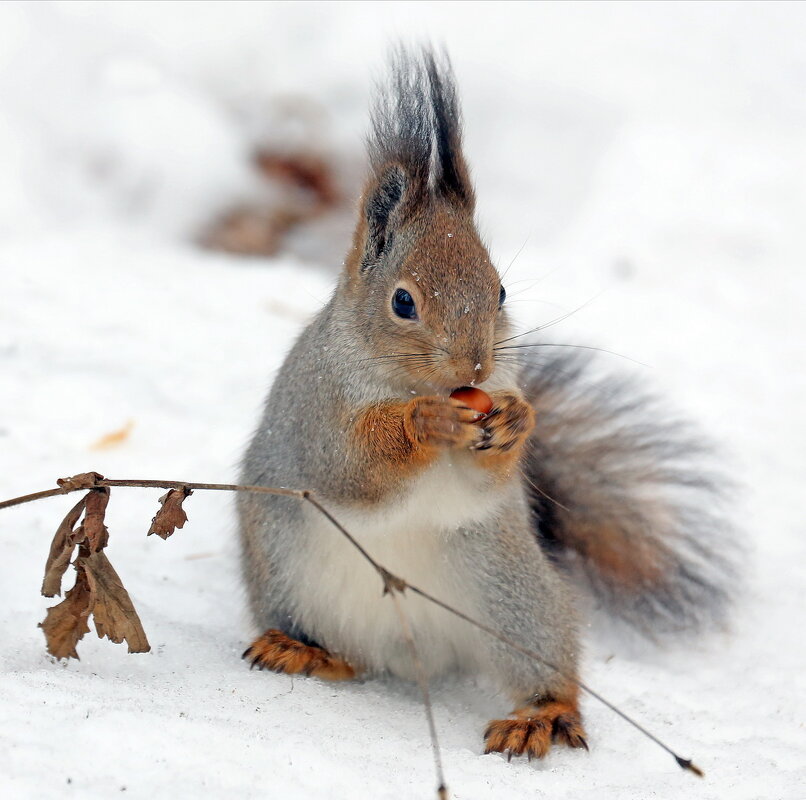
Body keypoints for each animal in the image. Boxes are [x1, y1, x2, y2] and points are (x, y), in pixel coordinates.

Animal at [237, 47, 740, 760]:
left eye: (500, 290)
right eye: (402, 301)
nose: (475, 366)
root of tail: (412, 652)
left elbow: (486, 478)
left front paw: (515, 421)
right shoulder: (319, 408)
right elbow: (353, 468)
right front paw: (421, 423)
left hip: (515, 594)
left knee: (542, 663)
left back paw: (541, 716)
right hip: (284, 572)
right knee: (341, 652)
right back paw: (304, 652)